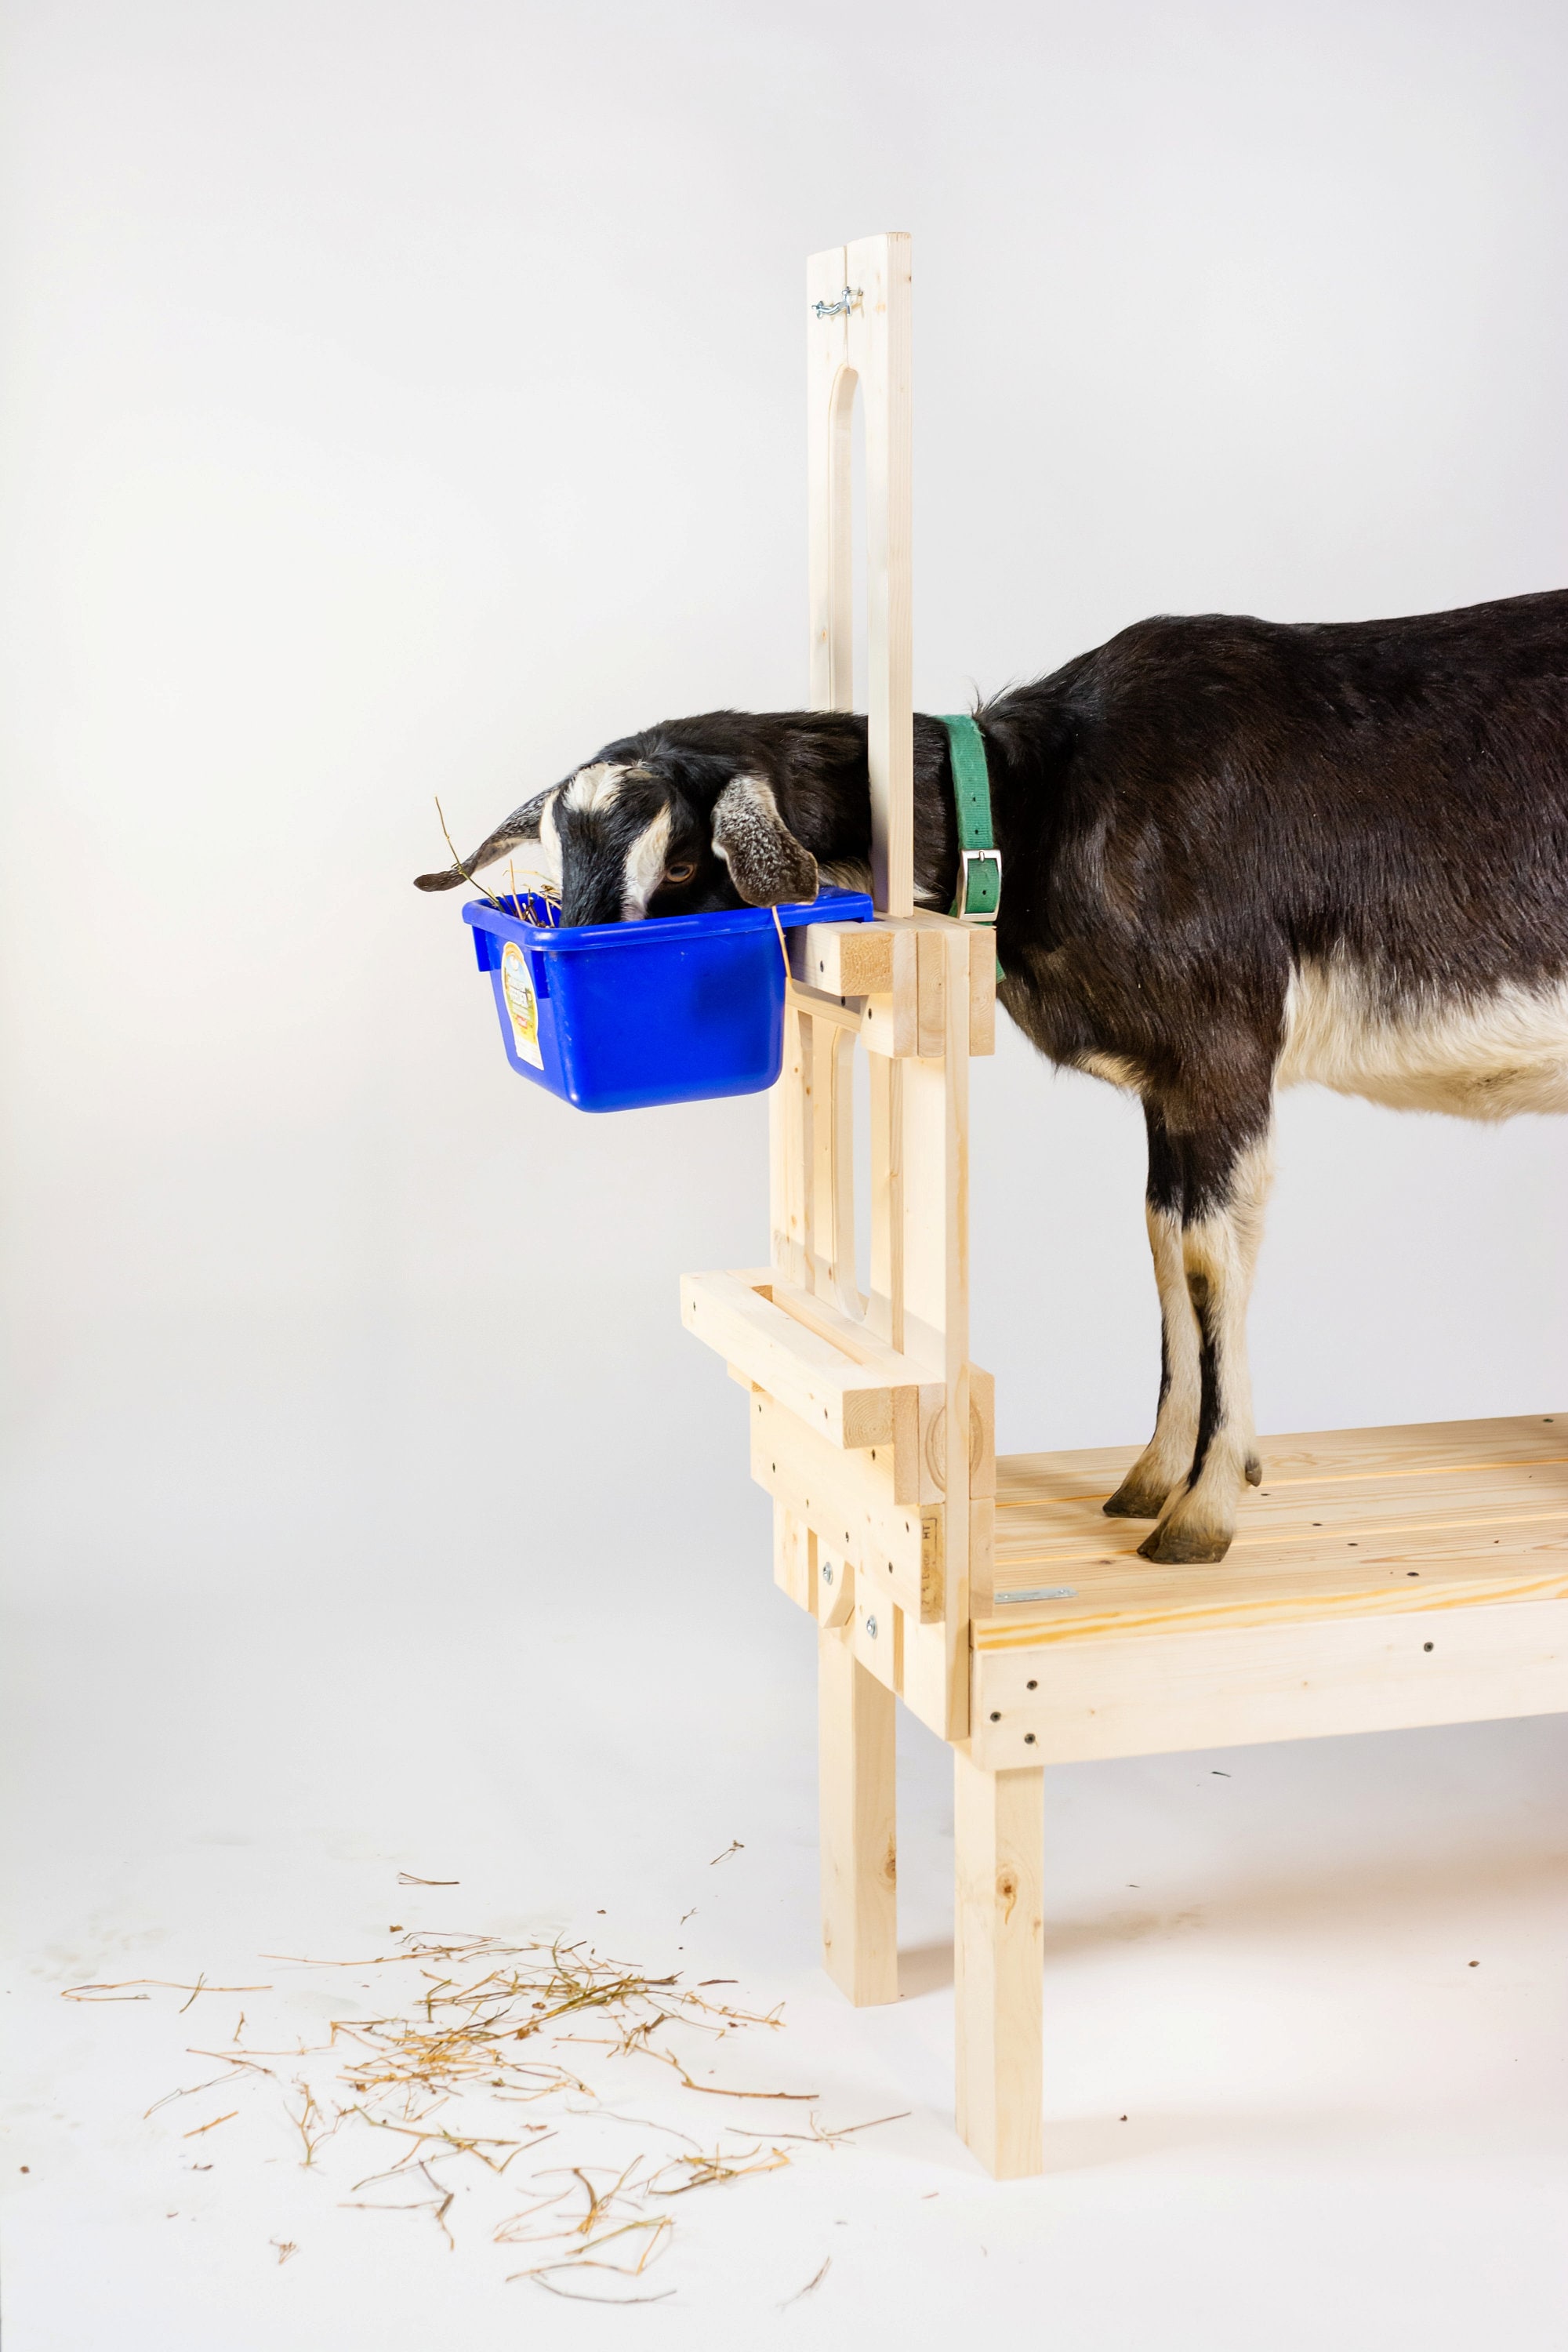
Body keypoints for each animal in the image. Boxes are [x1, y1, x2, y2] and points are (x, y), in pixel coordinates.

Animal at [416, 587, 1568, 1564]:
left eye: (691, 862)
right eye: (559, 859)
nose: (560, 966)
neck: (1032, 802)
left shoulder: (1221, 1056)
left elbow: (1210, 1261)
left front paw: (1201, 1513)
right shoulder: (1168, 1086)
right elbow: (1162, 1244)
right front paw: (1153, 1476)